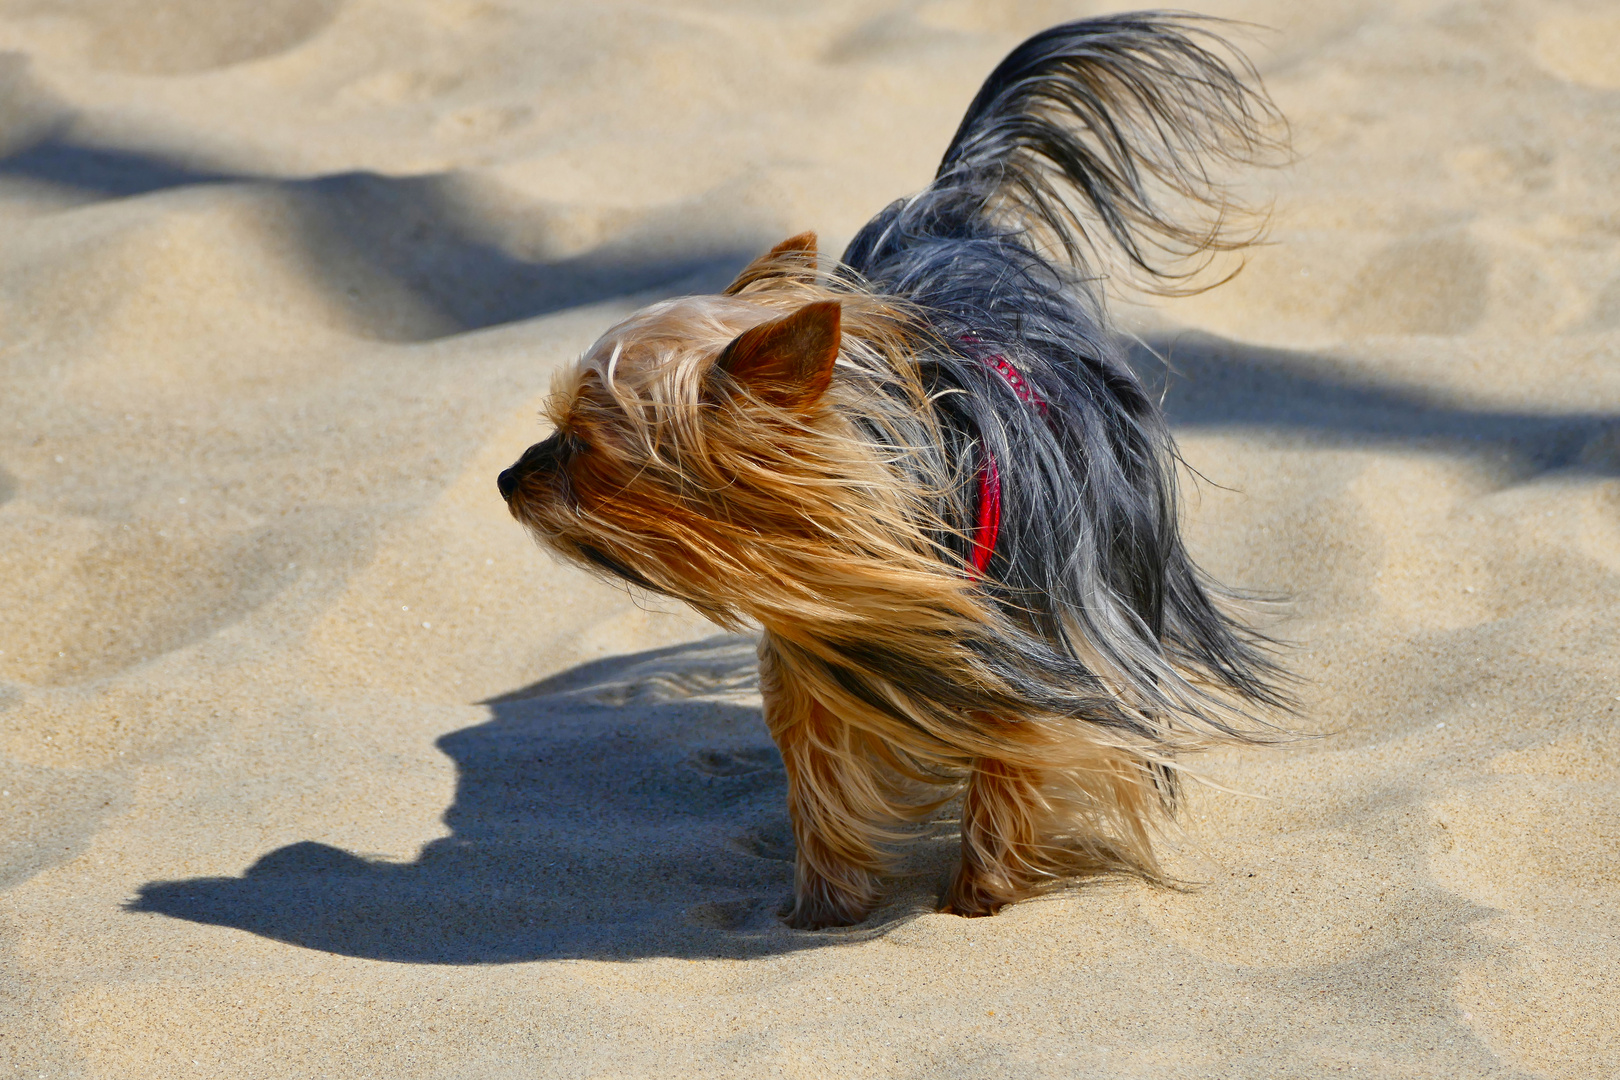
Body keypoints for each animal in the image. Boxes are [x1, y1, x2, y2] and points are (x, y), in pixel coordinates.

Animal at [492, 12, 1289, 932]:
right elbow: (821, 769)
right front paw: (826, 901)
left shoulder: (1049, 643)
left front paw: (980, 893)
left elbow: (1015, 750)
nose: (507, 480)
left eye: (583, 447)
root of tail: (946, 214)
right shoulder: (826, 642)